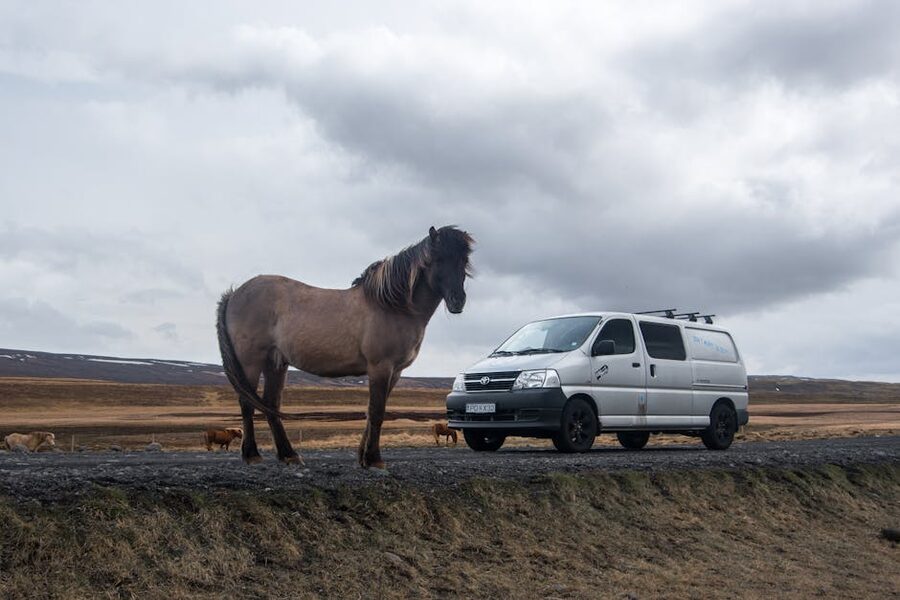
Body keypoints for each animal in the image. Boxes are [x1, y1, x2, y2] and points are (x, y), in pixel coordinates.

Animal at [216, 225, 473, 469]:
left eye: (464, 261)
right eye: (437, 259)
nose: (458, 301)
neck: (393, 307)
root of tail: (235, 294)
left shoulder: (395, 372)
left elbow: (371, 412)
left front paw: (363, 457)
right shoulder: (381, 367)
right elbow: (377, 412)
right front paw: (374, 459)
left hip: (276, 363)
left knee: (270, 404)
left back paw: (289, 455)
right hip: (251, 361)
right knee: (247, 404)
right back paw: (252, 455)